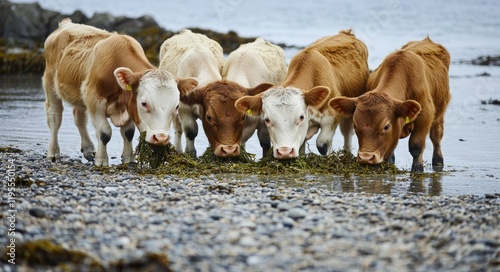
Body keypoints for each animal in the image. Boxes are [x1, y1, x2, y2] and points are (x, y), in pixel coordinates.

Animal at [43, 18, 198, 166]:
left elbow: (128, 133)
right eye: (144, 103)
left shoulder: (127, 104)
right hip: (50, 84)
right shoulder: (94, 100)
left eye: (176, 107)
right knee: (54, 117)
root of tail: (66, 24)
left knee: (79, 117)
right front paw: (101, 160)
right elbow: (105, 133)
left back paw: (88, 149)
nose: (160, 138)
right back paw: (54, 153)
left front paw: (128, 158)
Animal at [159, 28, 224, 156]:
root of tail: (187, 31)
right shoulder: (183, 108)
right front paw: (190, 152)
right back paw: (178, 150)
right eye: (211, 116)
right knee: (178, 128)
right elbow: (191, 130)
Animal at [233, 29, 368, 159]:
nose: (285, 151)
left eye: (301, 117)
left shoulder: (331, 118)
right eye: (267, 119)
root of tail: (347, 33)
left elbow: (322, 145)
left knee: (347, 133)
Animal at [330, 36, 452, 172]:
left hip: (439, 115)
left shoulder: (424, 117)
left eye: (386, 126)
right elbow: (389, 154)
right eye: (355, 125)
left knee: (436, 137)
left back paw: (438, 161)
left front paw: (417, 168)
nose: (366, 157)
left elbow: (416, 147)